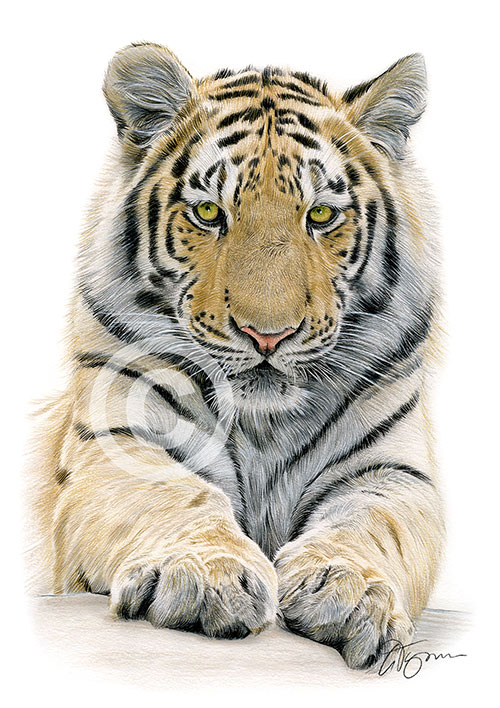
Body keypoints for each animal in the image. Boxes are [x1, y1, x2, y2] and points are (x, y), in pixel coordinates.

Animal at [33, 41, 444, 671]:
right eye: (208, 214)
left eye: (320, 216)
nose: (267, 336)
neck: (264, 428)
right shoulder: (118, 444)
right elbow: (178, 495)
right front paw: (208, 578)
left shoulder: (392, 471)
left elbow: (371, 524)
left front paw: (346, 591)